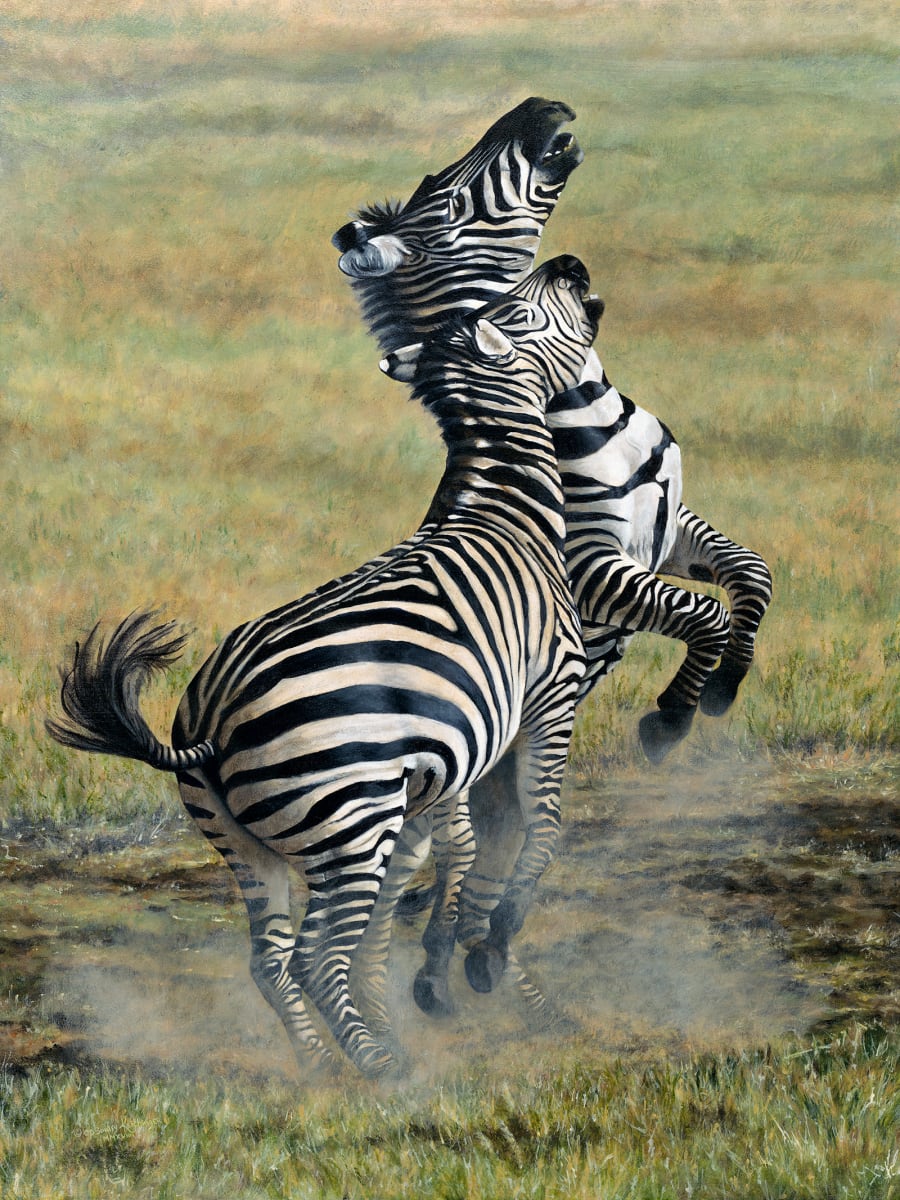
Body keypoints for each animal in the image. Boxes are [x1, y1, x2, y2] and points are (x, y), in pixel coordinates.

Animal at [44, 255, 607, 1080]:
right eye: (518, 307)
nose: (570, 264)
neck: (502, 508)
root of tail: (211, 718)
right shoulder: (552, 695)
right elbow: (539, 829)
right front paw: (487, 950)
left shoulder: (446, 762)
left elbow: (459, 850)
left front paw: (442, 969)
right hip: (350, 822)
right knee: (314, 957)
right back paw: (377, 1066)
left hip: (247, 843)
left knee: (271, 960)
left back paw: (323, 1060)